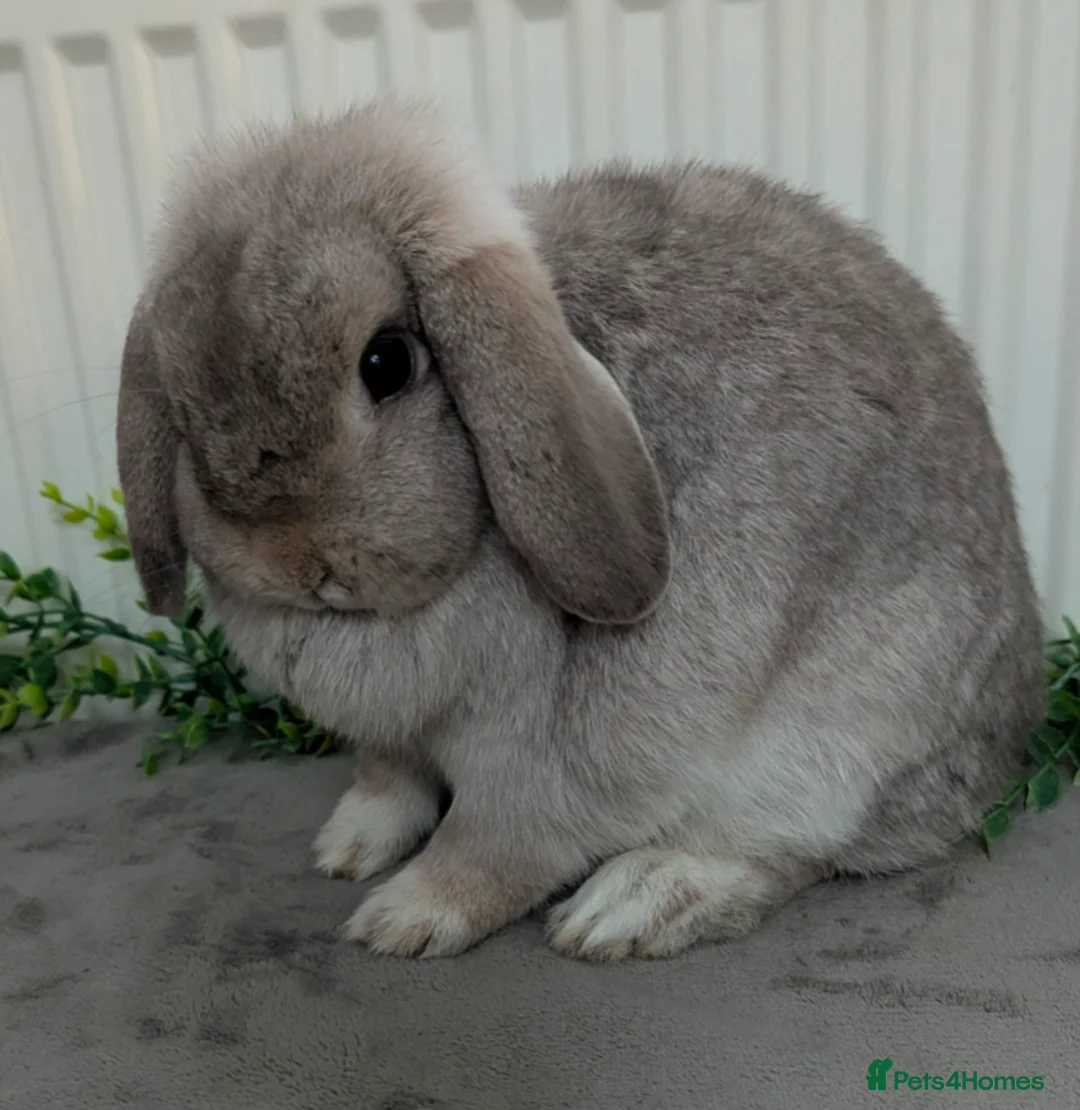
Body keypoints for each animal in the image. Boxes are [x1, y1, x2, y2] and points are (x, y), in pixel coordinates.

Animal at [116, 99, 1045, 961]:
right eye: (182, 397)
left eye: (387, 362)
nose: (294, 561)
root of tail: (1002, 751)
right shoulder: (392, 742)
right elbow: (389, 784)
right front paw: (347, 848)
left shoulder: (535, 758)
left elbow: (495, 843)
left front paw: (405, 919)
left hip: (835, 748)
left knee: (789, 855)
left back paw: (630, 907)